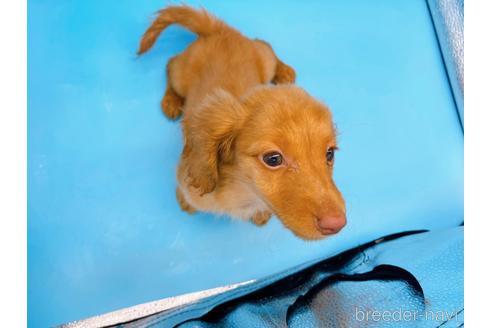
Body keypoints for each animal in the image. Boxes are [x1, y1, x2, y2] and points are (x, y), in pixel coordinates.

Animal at [138, 5, 346, 241]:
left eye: (329, 154)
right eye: (273, 159)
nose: (337, 224)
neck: (243, 192)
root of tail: (221, 32)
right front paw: (184, 200)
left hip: (264, 60)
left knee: (264, 44)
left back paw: (284, 70)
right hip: (181, 76)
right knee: (170, 62)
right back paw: (171, 100)